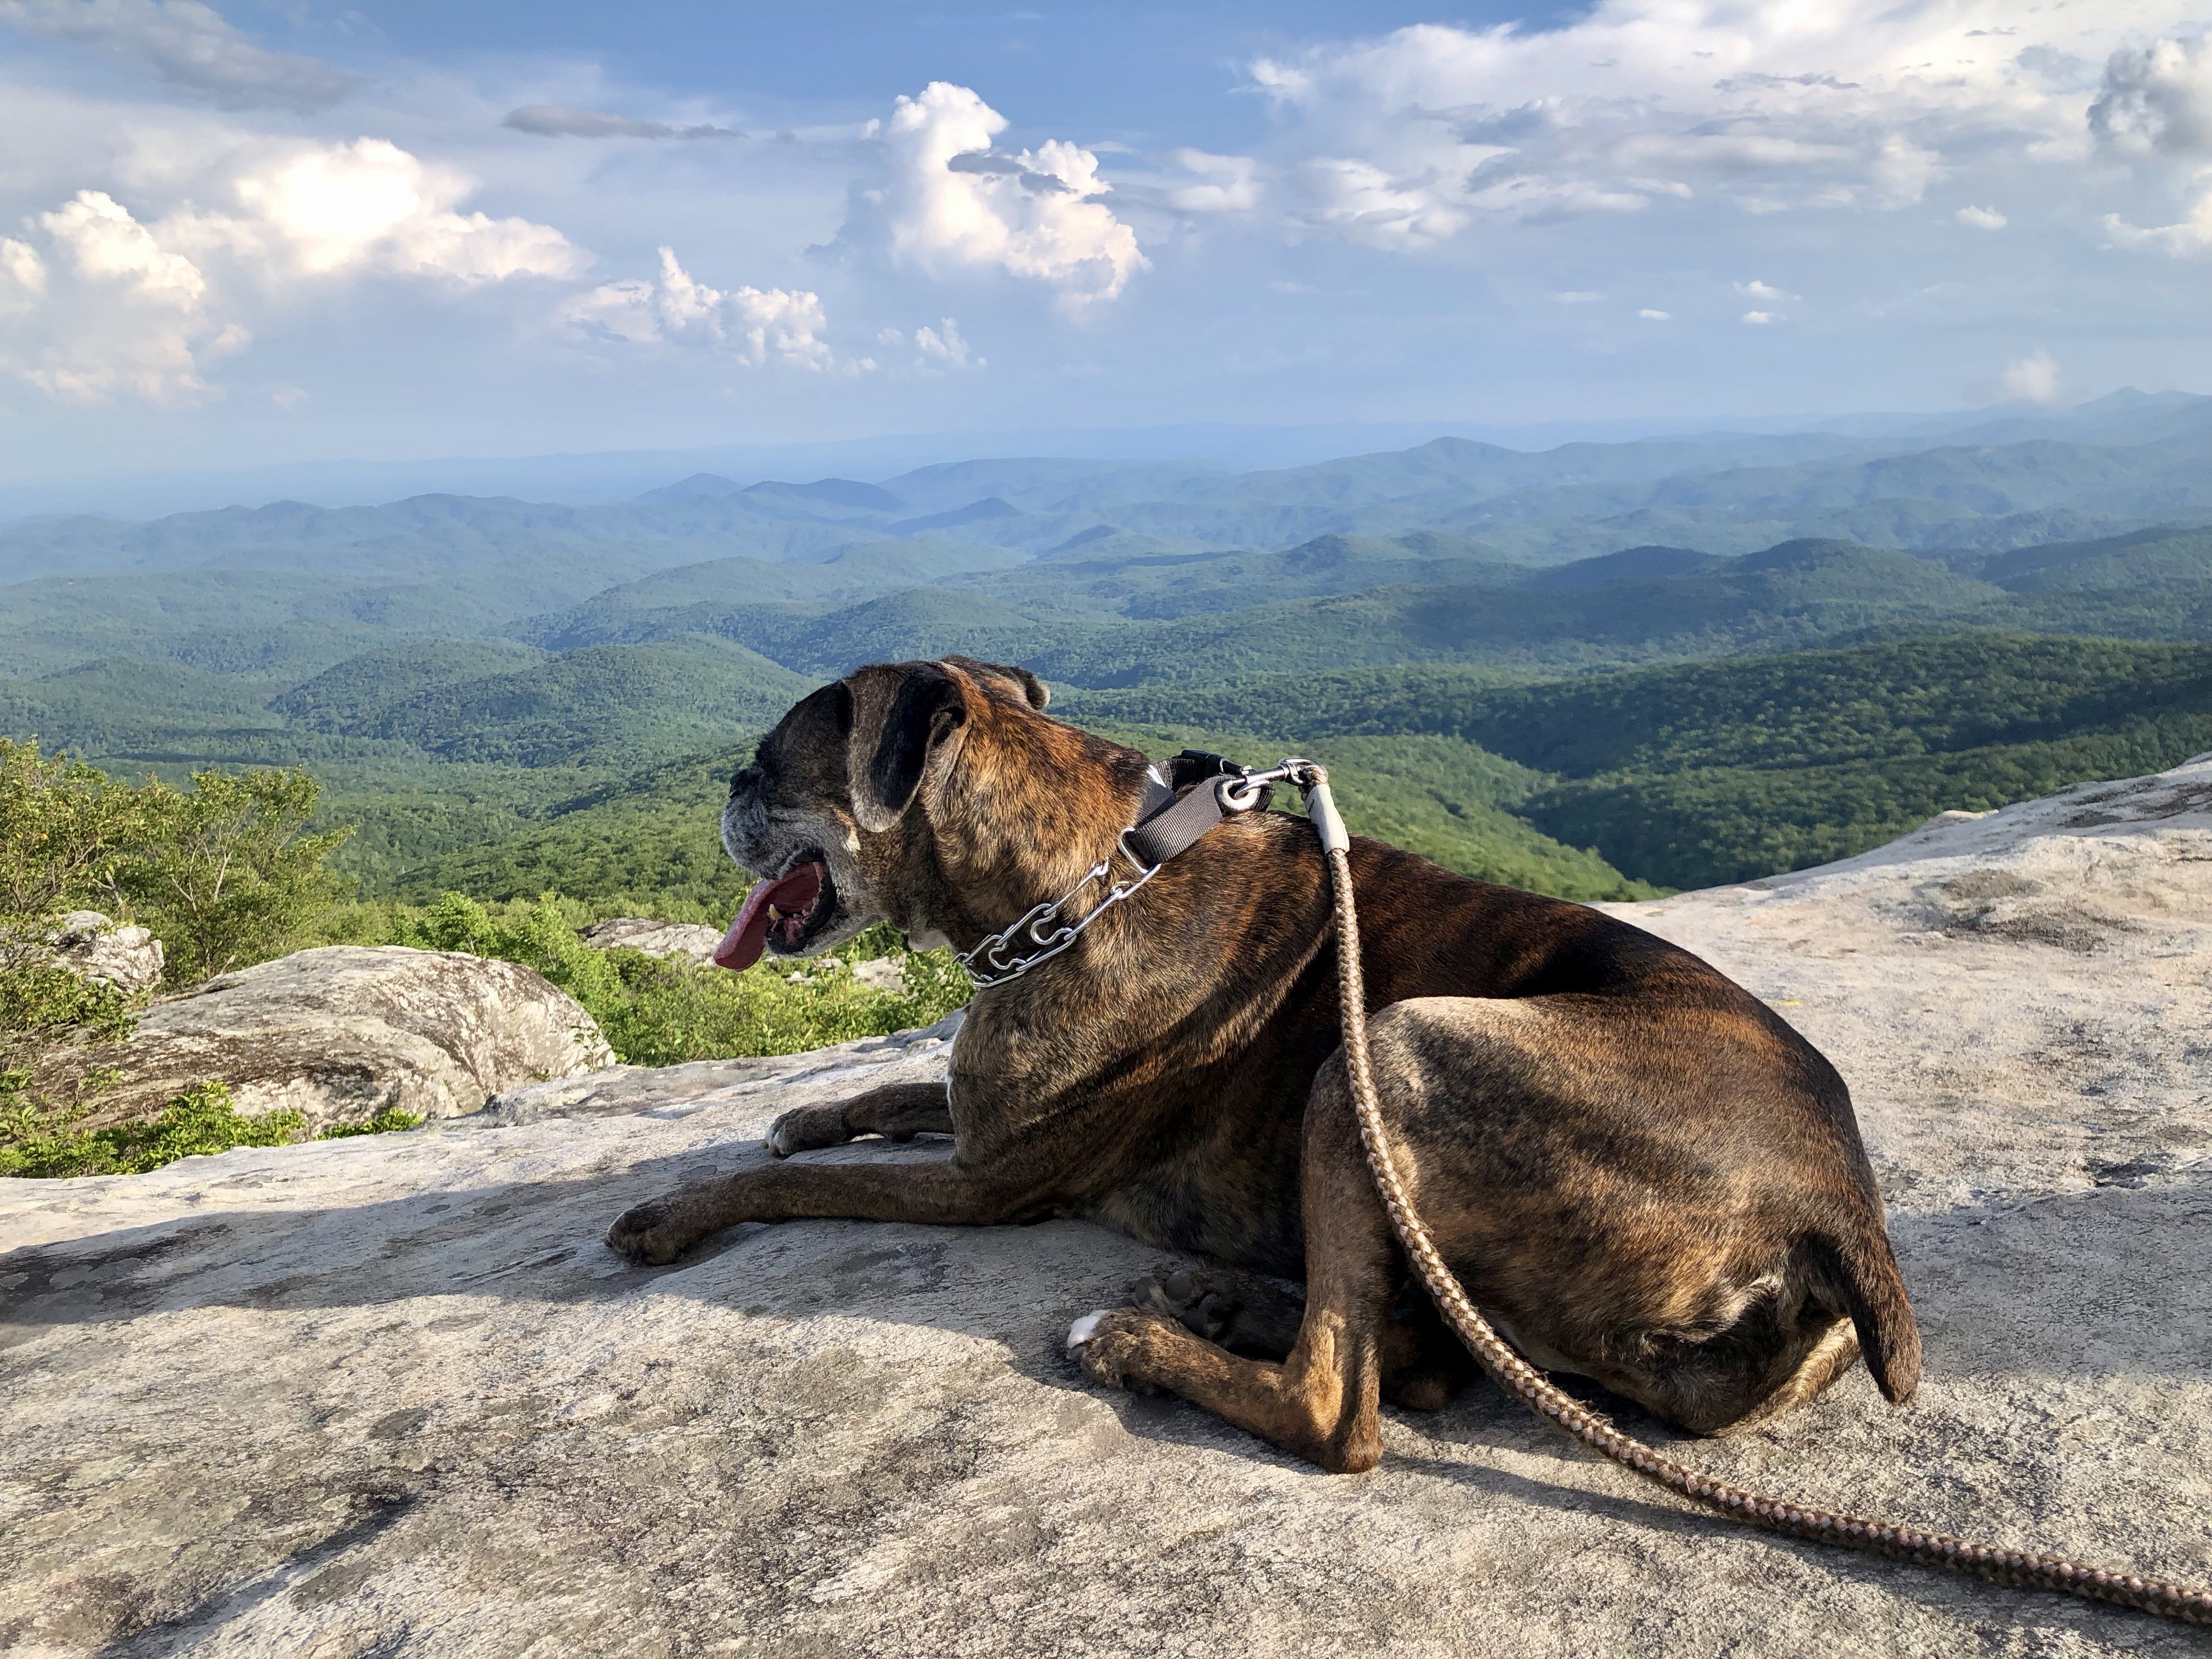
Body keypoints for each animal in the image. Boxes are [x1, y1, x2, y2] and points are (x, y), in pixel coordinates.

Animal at [606, 654, 1920, 1477]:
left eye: (766, 764)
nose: (725, 793)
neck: (1085, 877)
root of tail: (1834, 1211)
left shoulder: (988, 1182)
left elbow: (796, 1185)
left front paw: (674, 1212)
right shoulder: (982, 1118)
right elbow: (884, 1096)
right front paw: (805, 1113)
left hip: (1377, 1055)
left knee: (1342, 1407)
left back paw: (1136, 1342)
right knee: (1415, 1359)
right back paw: (1228, 1304)